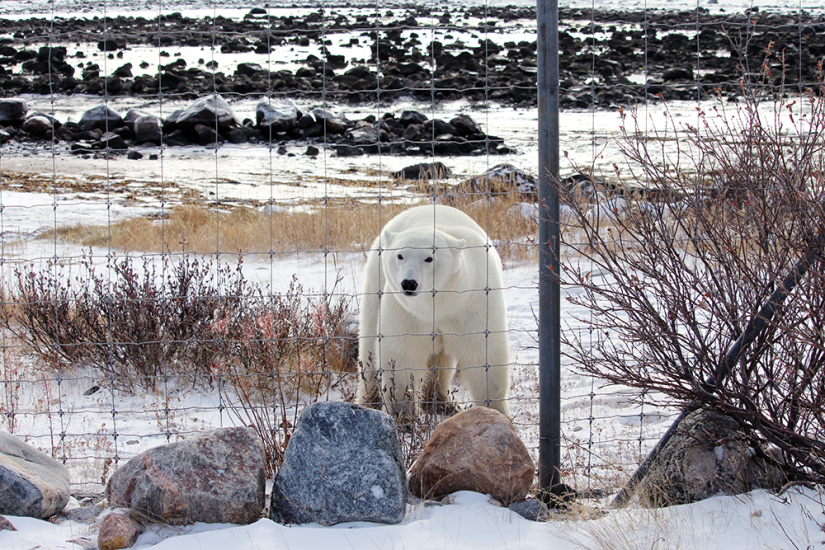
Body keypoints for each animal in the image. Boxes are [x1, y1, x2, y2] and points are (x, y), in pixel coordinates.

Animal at [357, 204, 511, 419]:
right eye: (400, 255)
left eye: (429, 258)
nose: (409, 283)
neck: (438, 304)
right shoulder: (405, 311)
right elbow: (403, 355)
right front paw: (403, 414)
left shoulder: (472, 302)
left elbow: (482, 353)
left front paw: (496, 411)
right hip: (374, 282)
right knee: (369, 344)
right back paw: (369, 401)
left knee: (442, 362)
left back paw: (444, 403)